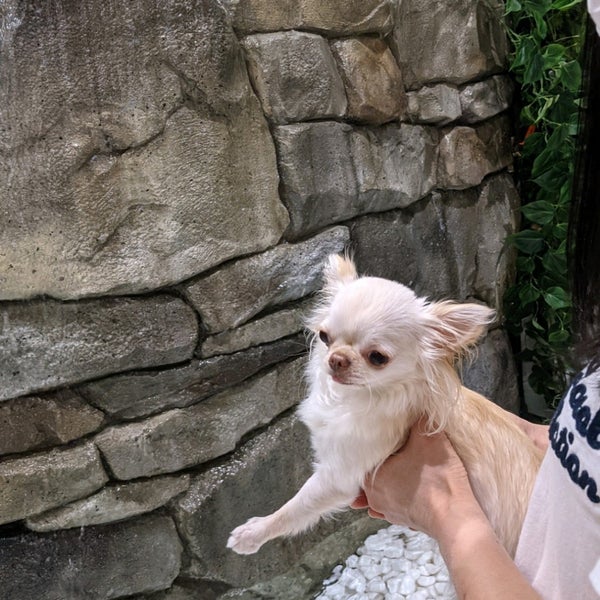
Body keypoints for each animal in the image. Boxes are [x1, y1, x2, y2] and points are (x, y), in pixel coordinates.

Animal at [226, 256, 544, 556]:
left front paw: (254, 532)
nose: (336, 359)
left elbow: (298, 506)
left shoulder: (339, 474)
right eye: (324, 337)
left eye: (377, 357)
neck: (357, 398)